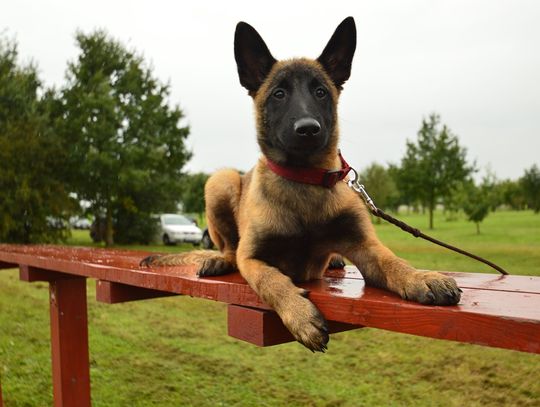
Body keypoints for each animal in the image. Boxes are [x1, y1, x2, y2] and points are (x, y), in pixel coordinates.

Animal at [141, 17, 462, 352]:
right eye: (279, 94)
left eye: (320, 92)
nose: (308, 129)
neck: (304, 179)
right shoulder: (252, 258)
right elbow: (271, 281)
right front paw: (300, 316)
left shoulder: (365, 246)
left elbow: (392, 261)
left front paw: (420, 277)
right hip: (221, 180)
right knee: (229, 249)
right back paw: (218, 261)